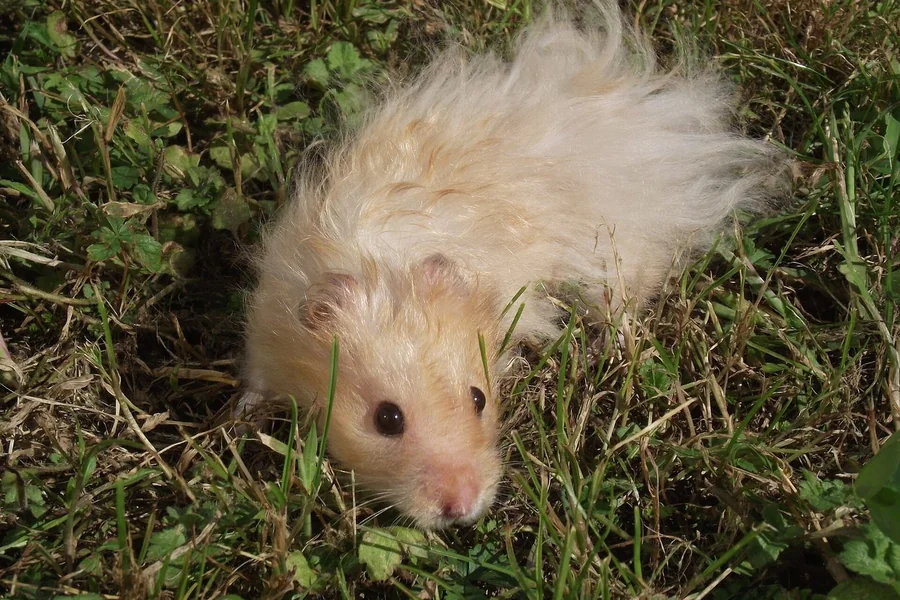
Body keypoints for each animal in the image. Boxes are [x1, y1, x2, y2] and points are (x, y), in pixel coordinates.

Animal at [238, 2, 788, 529]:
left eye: (480, 398)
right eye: (386, 419)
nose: (463, 509)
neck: (382, 263)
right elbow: (257, 380)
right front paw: (242, 415)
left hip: (618, 257)